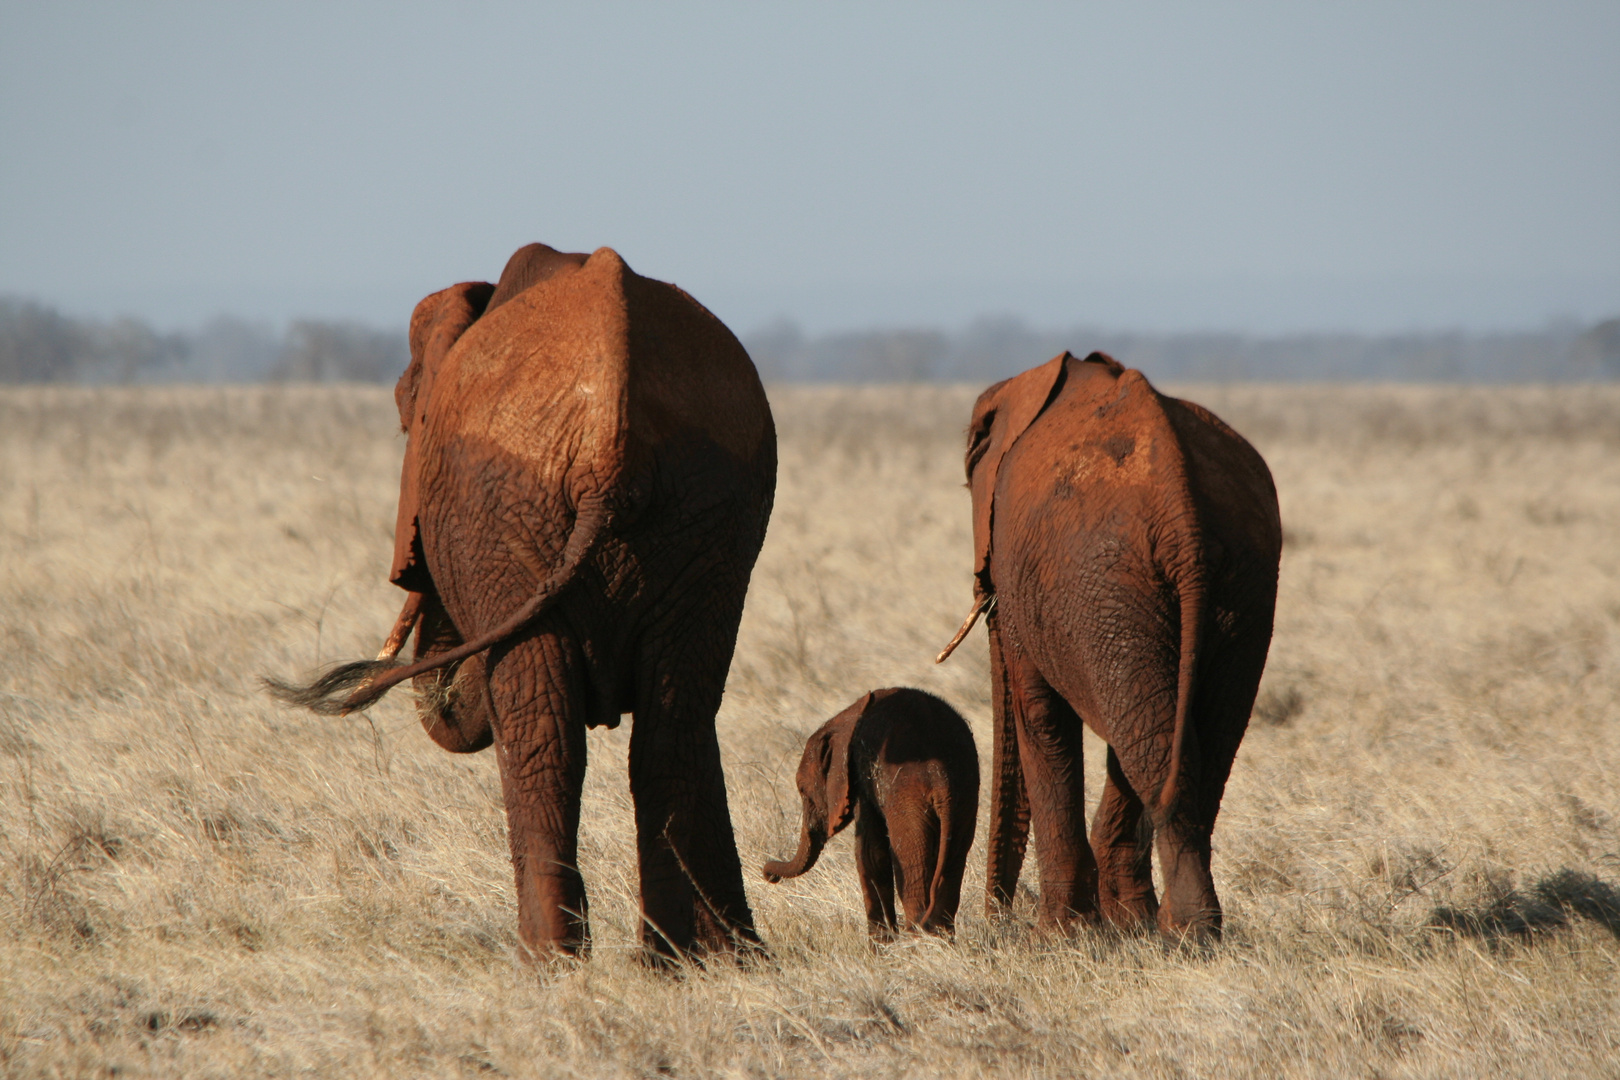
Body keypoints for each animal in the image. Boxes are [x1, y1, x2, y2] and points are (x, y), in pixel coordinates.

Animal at [268, 244, 774, 965]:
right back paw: (698, 962)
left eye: (403, 417)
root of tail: (607, 443)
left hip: (509, 513)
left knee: (542, 726)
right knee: (675, 721)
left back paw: (548, 960)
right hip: (704, 513)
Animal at [758, 693, 972, 939]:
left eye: (803, 790)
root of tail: (942, 779)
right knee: (954, 865)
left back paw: (916, 938)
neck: (848, 716)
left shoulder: (860, 776)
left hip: (907, 798)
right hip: (963, 796)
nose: (769, 875)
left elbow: (870, 854)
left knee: (909, 864)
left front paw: (883, 944)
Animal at [939, 348, 1276, 939]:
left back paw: (1184, 933)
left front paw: (1059, 937)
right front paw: (1121, 924)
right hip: (1230, 585)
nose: (994, 920)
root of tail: (1183, 515)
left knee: (1154, 742)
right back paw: (1182, 928)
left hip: (1109, 581)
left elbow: (1040, 716)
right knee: (1189, 739)